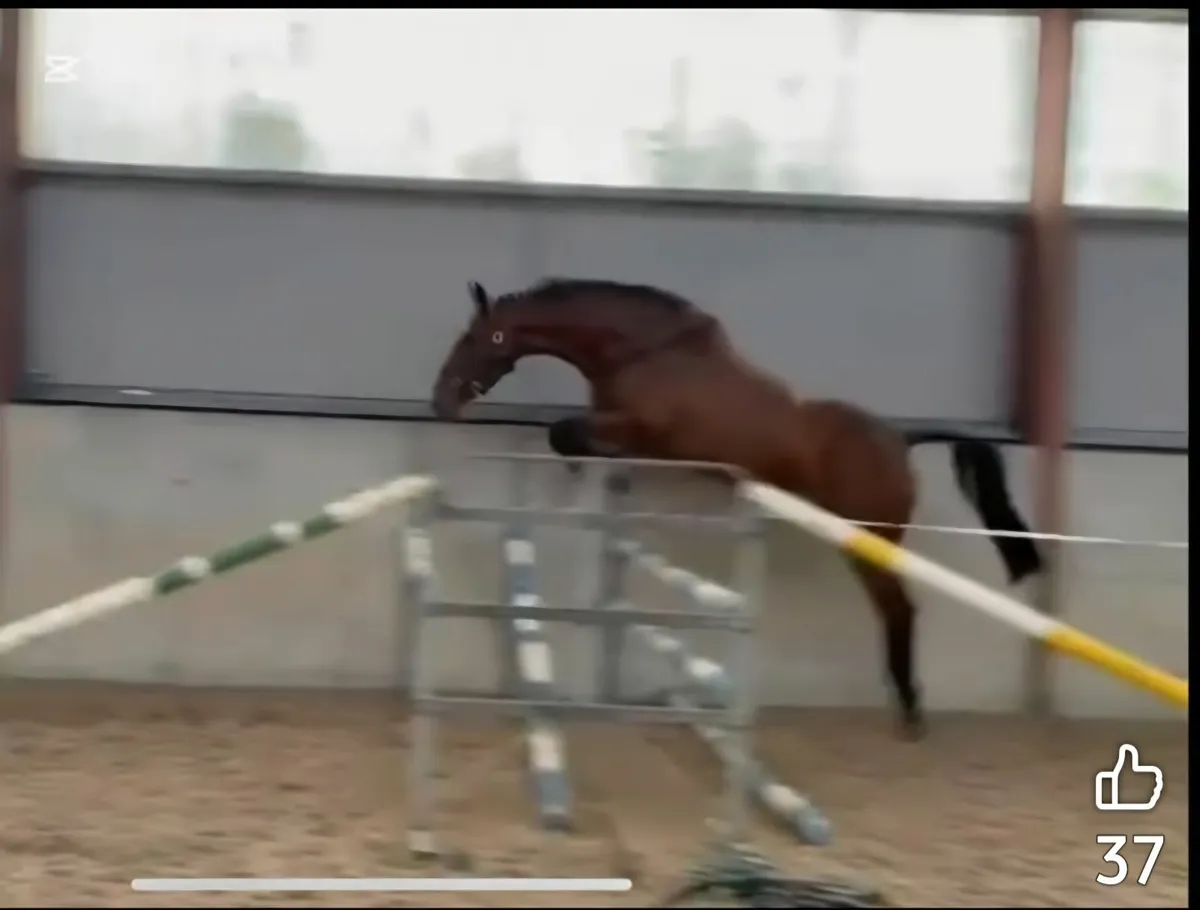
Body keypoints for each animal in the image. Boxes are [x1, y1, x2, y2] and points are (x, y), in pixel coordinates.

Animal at [431, 278, 1043, 739]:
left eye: (479, 337)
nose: (442, 401)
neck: (643, 352)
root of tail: (901, 439)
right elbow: (573, 436)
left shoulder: (643, 431)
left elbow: (566, 432)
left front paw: (576, 467)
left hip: (869, 539)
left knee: (899, 611)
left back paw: (911, 711)